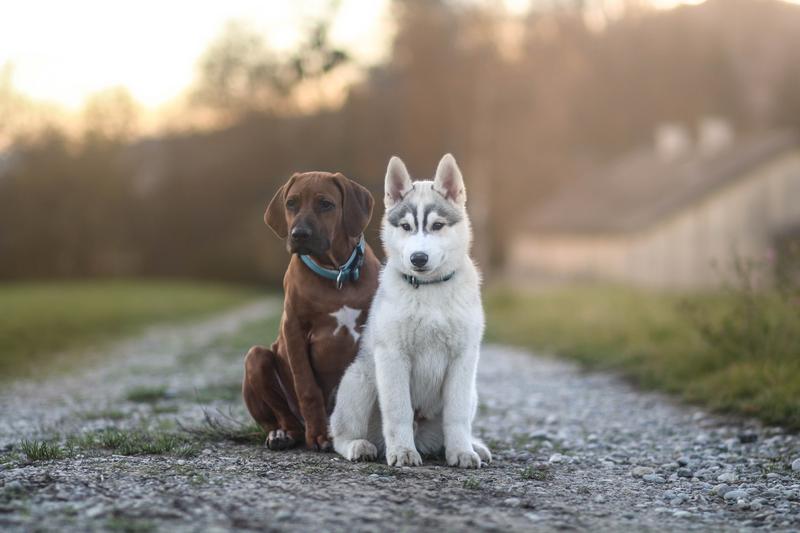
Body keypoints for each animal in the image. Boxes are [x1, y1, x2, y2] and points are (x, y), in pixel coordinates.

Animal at [242, 170, 380, 448]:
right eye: (291, 203)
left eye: (325, 204)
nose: (299, 234)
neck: (336, 274)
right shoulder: (293, 329)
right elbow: (307, 388)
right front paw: (318, 435)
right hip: (256, 358)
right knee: (280, 418)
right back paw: (283, 434)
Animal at [330, 153, 490, 466]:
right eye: (405, 227)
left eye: (437, 226)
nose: (418, 258)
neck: (430, 289)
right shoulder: (393, 356)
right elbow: (398, 411)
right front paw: (403, 451)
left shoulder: (464, 357)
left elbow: (457, 416)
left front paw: (462, 452)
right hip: (359, 380)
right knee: (338, 435)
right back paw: (359, 446)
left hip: (473, 392)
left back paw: (473, 446)